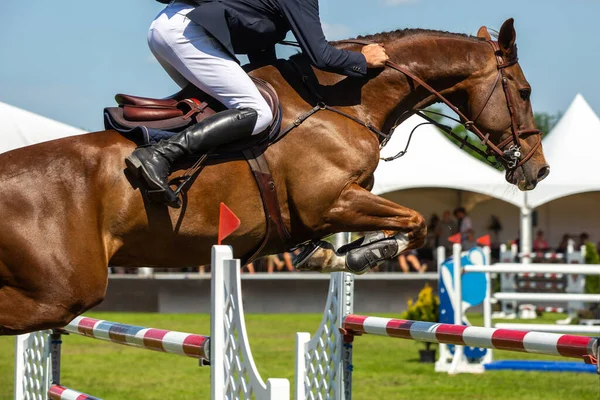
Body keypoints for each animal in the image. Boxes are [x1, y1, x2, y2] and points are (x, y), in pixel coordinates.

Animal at [0, 18, 548, 334]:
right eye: (523, 91)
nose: (538, 170)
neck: (345, 101)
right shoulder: (329, 201)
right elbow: (415, 223)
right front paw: (359, 255)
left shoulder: (339, 206)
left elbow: (402, 224)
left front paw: (333, 254)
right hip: (62, 291)